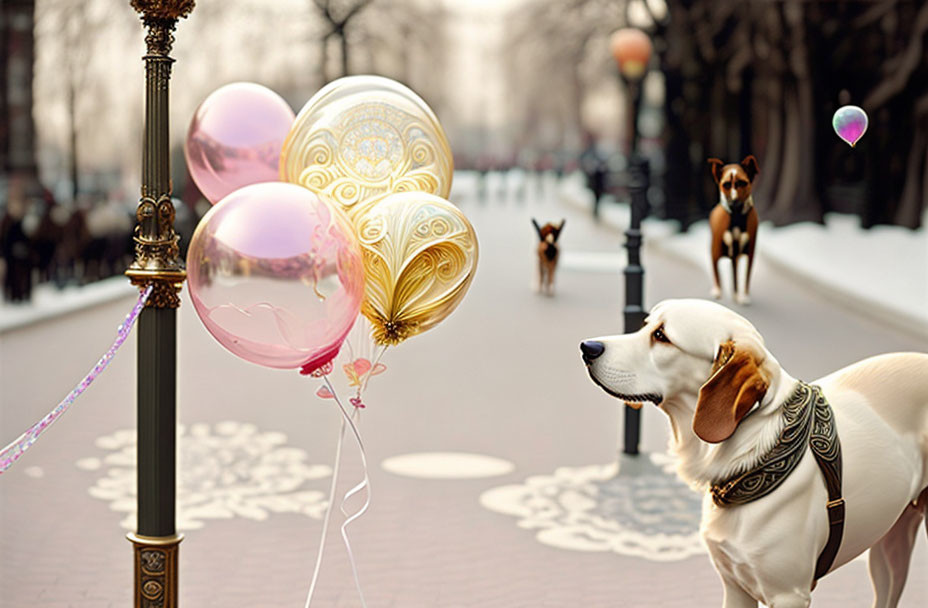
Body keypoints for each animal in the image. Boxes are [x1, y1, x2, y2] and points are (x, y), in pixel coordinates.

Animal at [580, 300, 928, 608]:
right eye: (646, 325)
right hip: (890, 545)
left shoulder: (789, 595)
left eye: (662, 337)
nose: (587, 347)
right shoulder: (735, 585)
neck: (753, 450)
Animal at [708, 156, 756, 304]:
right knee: (716, 270)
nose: (734, 202)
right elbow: (718, 271)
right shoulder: (719, 248)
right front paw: (719, 290)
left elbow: (746, 276)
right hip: (716, 249)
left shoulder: (750, 250)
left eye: (742, 183)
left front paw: (743, 295)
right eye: (726, 185)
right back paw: (717, 290)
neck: (737, 215)